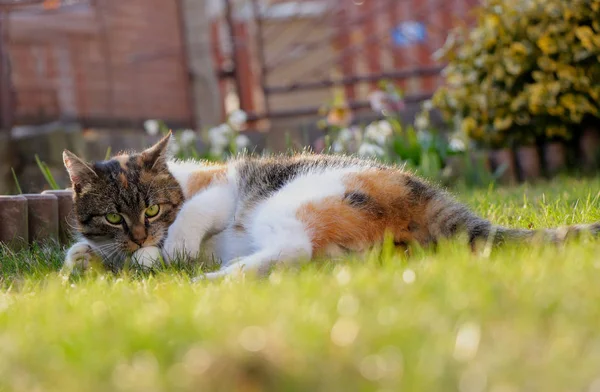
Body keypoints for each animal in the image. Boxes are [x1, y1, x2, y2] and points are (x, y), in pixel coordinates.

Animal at [63, 132, 600, 278]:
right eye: (114, 217)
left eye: (152, 210)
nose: (139, 236)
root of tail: (425, 191)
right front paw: (85, 260)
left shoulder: (224, 185)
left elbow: (195, 214)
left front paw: (170, 250)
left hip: (290, 197)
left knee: (294, 249)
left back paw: (213, 280)